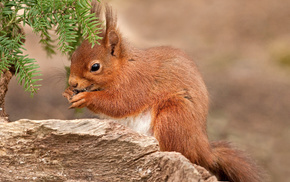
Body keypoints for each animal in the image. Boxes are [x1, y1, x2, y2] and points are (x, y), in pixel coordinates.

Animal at [62, 2, 262, 181]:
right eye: (73, 56)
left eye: (95, 67)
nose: (72, 82)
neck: (124, 67)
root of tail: (204, 149)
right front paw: (68, 92)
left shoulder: (137, 83)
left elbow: (120, 103)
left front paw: (86, 98)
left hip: (173, 117)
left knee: (179, 151)